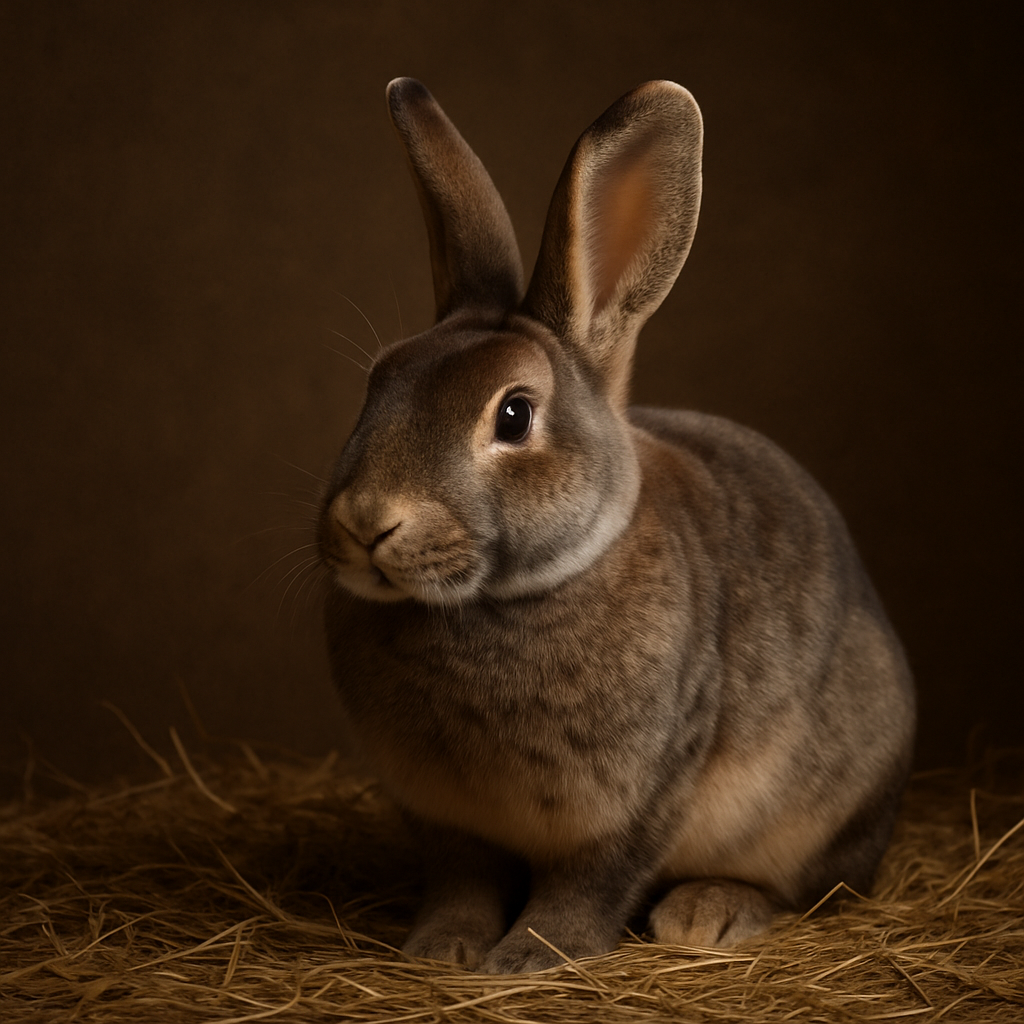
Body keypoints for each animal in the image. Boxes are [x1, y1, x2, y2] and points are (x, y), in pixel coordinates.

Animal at [317, 77, 916, 975]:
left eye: (515, 415)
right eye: (377, 383)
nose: (365, 522)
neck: (505, 600)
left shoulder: (643, 796)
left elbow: (592, 883)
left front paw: (530, 959)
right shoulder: (446, 821)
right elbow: (462, 883)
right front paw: (440, 951)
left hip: (824, 804)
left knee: (810, 887)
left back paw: (706, 915)